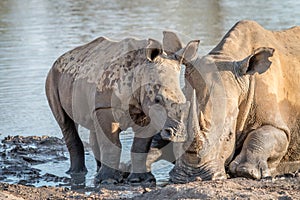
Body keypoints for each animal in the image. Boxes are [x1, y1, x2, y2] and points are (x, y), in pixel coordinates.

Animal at [45, 34, 197, 184]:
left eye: (184, 101)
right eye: (158, 100)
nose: (178, 134)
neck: (141, 70)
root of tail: (62, 57)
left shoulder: (147, 111)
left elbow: (140, 146)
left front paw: (141, 180)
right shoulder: (105, 107)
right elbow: (112, 145)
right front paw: (108, 181)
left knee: (93, 126)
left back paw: (97, 172)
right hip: (53, 77)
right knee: (65, 122)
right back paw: (78, 173)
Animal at [161, 20, 300, 183]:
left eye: (229, 135)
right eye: (175, 132)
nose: (192, 176)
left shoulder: (279, 124)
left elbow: (265, 134)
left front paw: (246, 171)